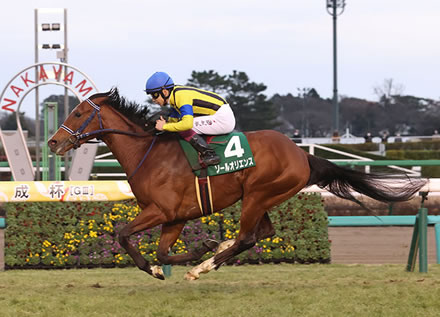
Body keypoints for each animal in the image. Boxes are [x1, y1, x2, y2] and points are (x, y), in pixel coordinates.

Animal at [48, 89, 426, 278]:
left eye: (78, 113)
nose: (53, 142)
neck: (147, 153)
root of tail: (302, 155)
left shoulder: (162, 210)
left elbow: (124, 234)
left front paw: (166, 265)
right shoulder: (175, 217)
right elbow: (163, 251)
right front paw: (186, 254)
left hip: (259, 193)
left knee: (248, 237)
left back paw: (204, 266)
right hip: (263, 197)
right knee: (262, 232)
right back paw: (215, 252)